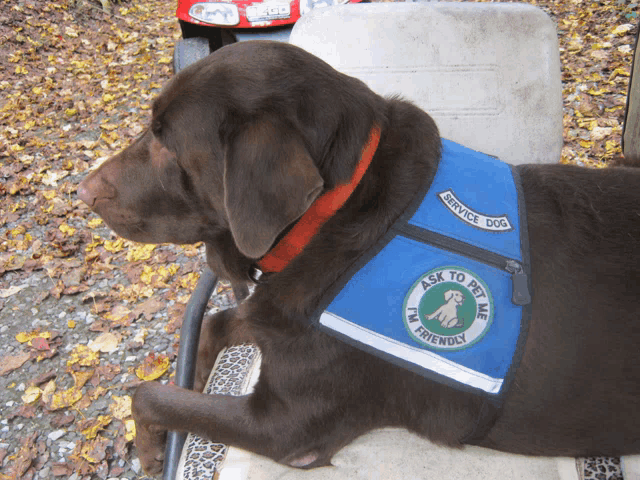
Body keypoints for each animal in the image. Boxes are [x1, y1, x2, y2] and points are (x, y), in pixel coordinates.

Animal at [77, 42, 640, 476]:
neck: (333, 213)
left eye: (166, 143)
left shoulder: (287, 425)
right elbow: (214, 326)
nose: (82, 191)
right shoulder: (276, 316)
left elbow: (150, 394)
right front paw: (188, 383)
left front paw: (151, 444)